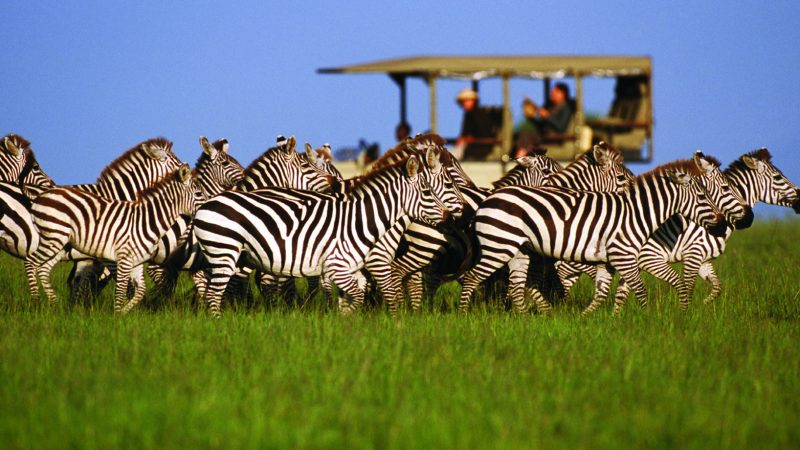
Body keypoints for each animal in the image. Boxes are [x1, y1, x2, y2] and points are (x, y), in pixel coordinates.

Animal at [26, 164, 202, 313]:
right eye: (198, 194)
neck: (146, 221)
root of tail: (42, 195)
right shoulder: (124, 259)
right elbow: (120, 291)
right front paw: (117, 319)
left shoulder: (136, 262)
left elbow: (140, 291)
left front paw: (125, 313)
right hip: (53, 236)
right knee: (30, 262)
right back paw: (35, 302)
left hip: (59, 242)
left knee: (43, 268)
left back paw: (55, 305)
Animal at [193, 147, 462, 317]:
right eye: (429, 191)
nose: (452, 217)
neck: (362, 221)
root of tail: (205, 205)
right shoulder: (347, 265)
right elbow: (373, 295)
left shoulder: (352, 269)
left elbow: (352, 298)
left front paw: (344, 326)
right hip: (226, 253)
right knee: (216, 293)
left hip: (220, 257)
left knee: (211, 288)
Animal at [458, 159, 732, 314]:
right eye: (702, 196)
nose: (721, 226)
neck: (637, 215)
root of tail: (488, 199)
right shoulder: (623, 257)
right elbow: (641, 290)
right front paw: (649, 320)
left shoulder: (607, 261)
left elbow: (603, 292)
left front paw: (591, 320)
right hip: (499, 246)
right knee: (471, 278)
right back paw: (463, 315)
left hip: (518, 250)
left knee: (515, 287)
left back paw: (526, 320)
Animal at [559, 148, 799, 310]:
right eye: (778, 177)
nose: (748, 219)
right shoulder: (681, 254)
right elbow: (687, 285)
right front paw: (686, 315)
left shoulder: (702, 258)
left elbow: (716, 286)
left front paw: (704, 306)